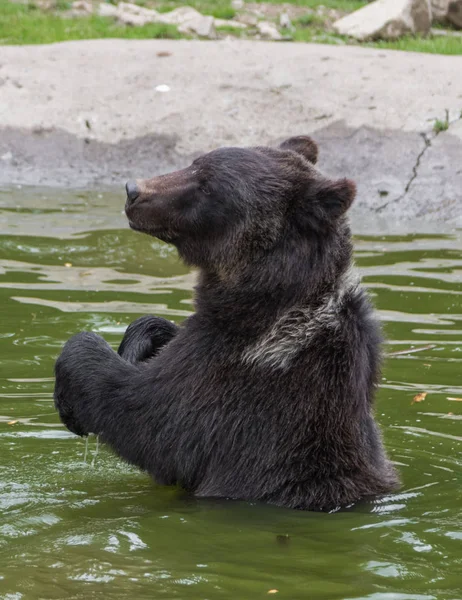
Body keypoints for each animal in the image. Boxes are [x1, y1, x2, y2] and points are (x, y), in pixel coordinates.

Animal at [54, 136, 398, 510]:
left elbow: (150, 418)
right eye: (194, 163)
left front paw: (72, 395)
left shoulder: (240, 386)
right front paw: (141, 338)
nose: (134, 190)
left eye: (207, 186)